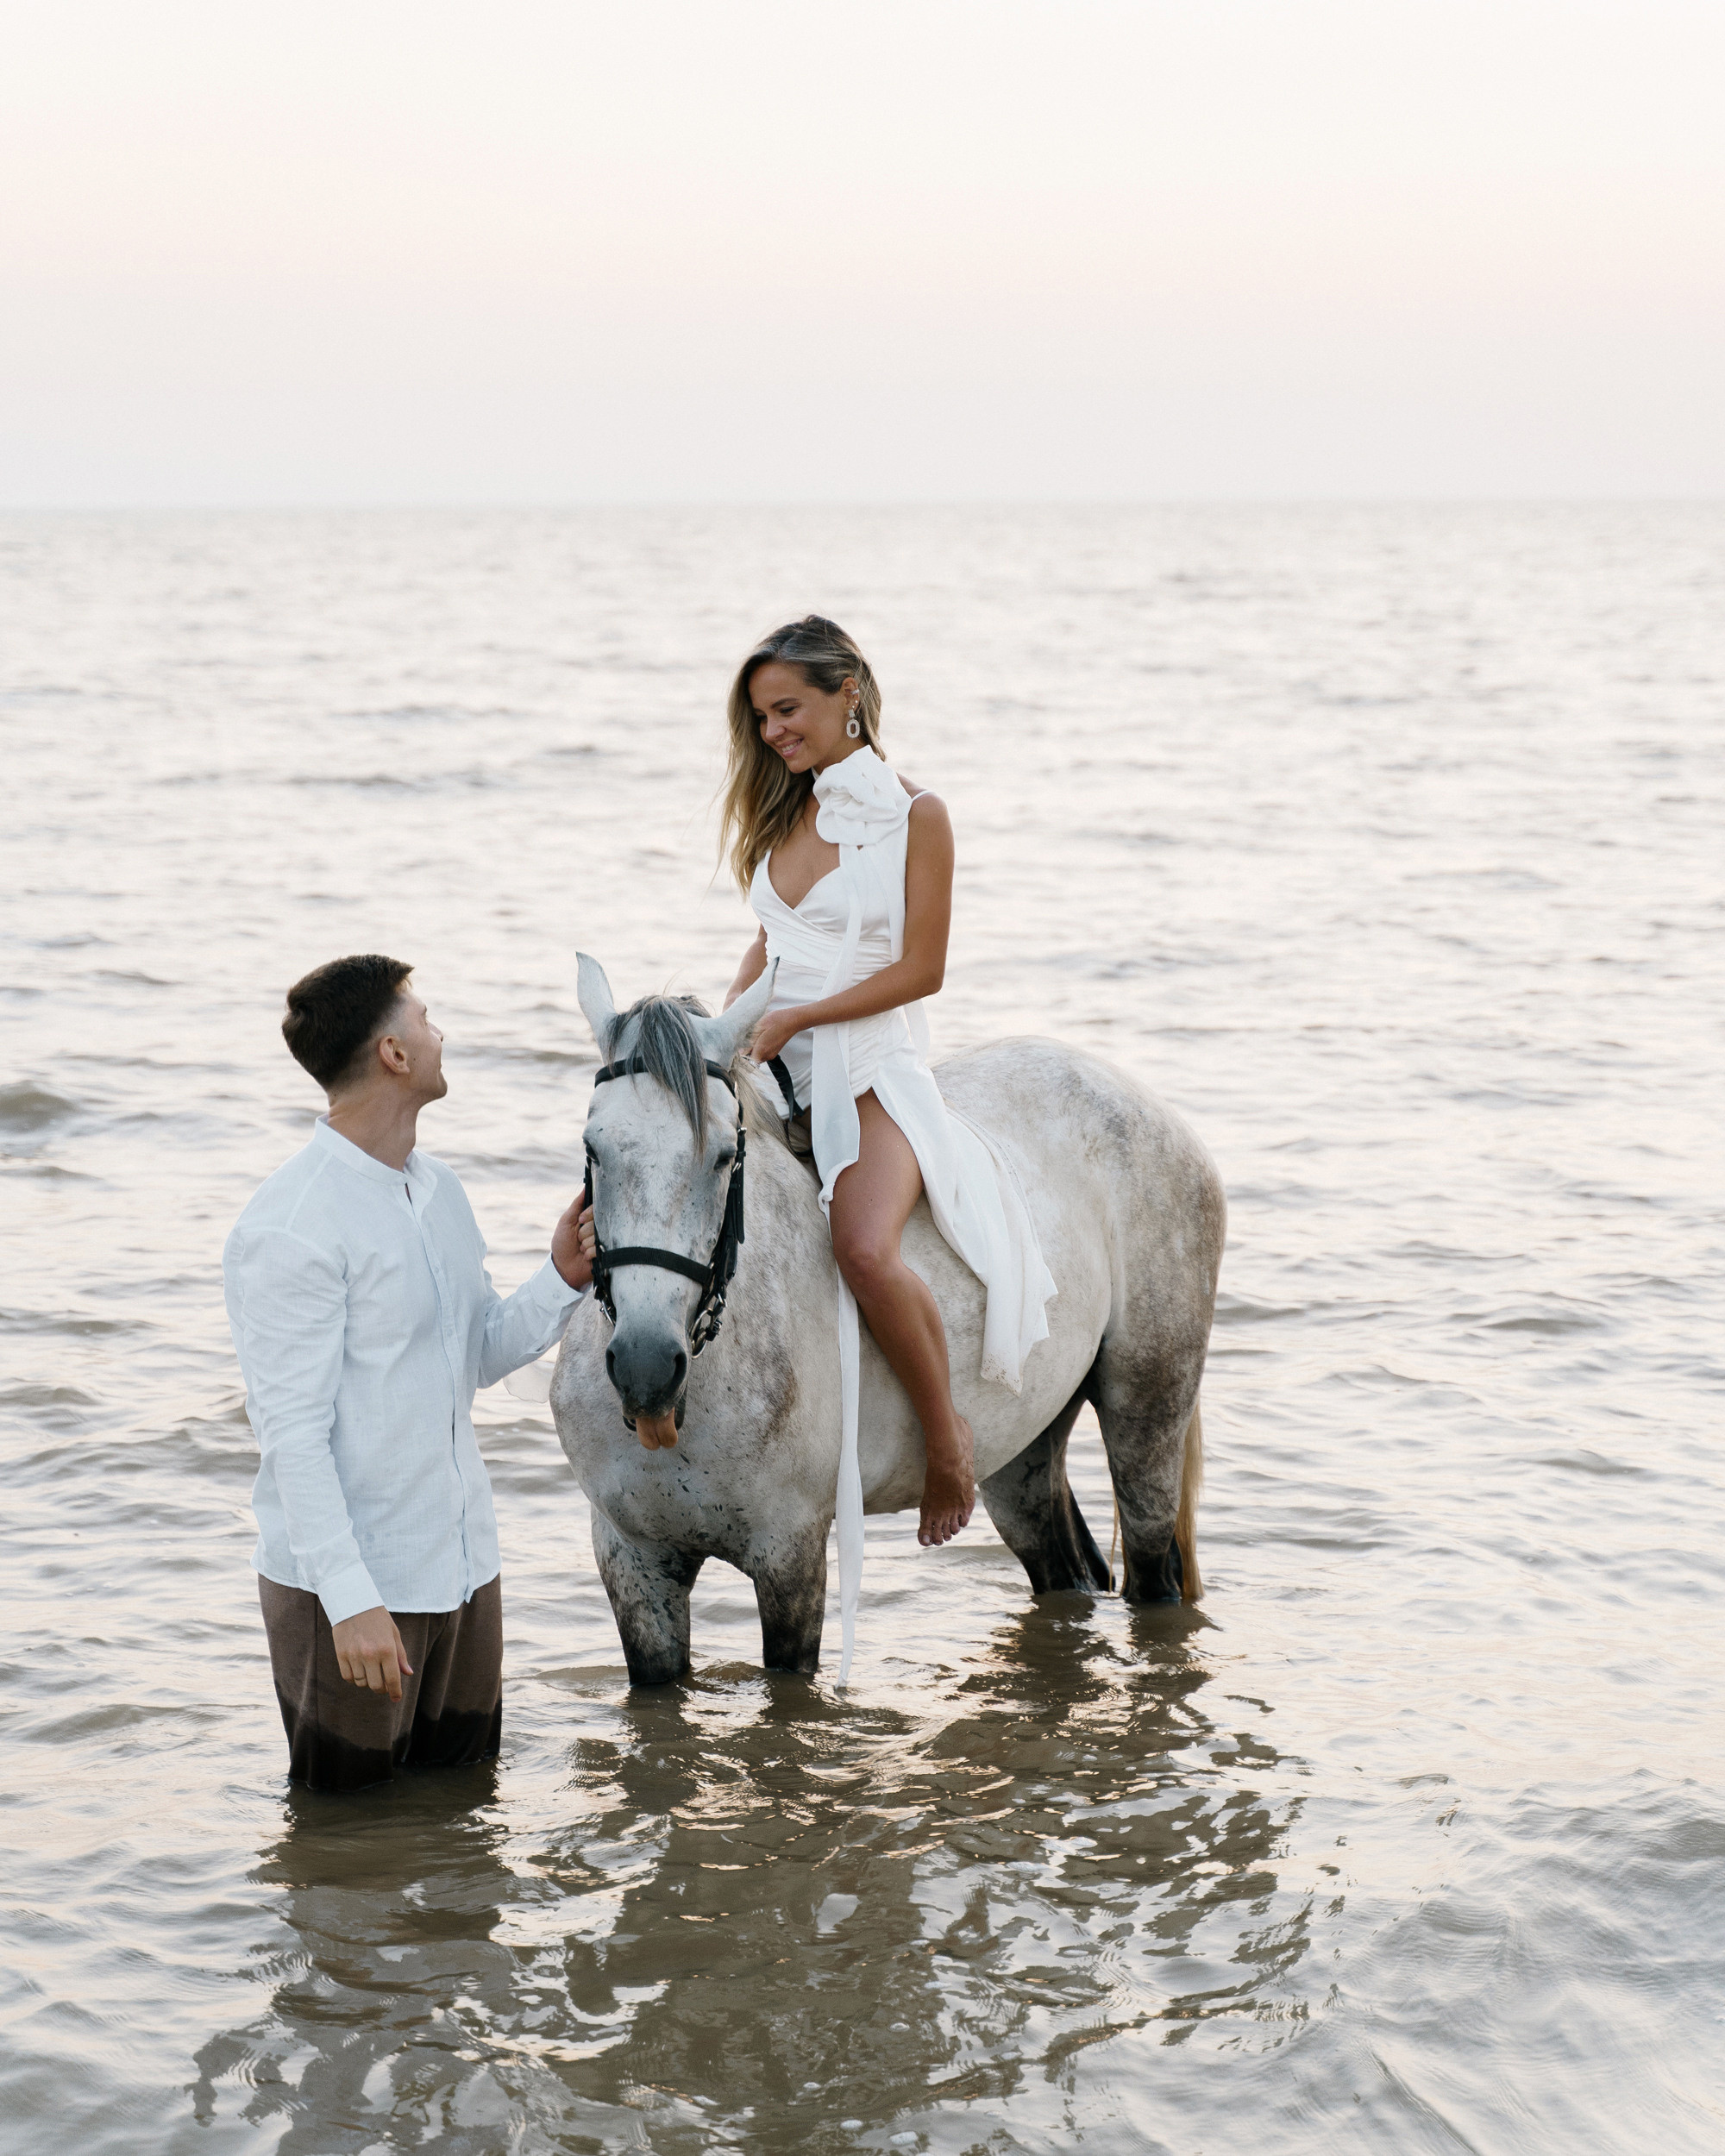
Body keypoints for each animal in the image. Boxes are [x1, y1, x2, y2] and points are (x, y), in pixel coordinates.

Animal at [550, 954, 1226, 1686]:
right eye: (593, 1147)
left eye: (724, 1157)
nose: (645, 1367)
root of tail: (1149, 1105)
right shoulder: (633, 1562)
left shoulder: (790, 1555)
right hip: (1022, 1451)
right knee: (1067, 1572)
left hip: (1147, 1411)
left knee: (1152, 1574)